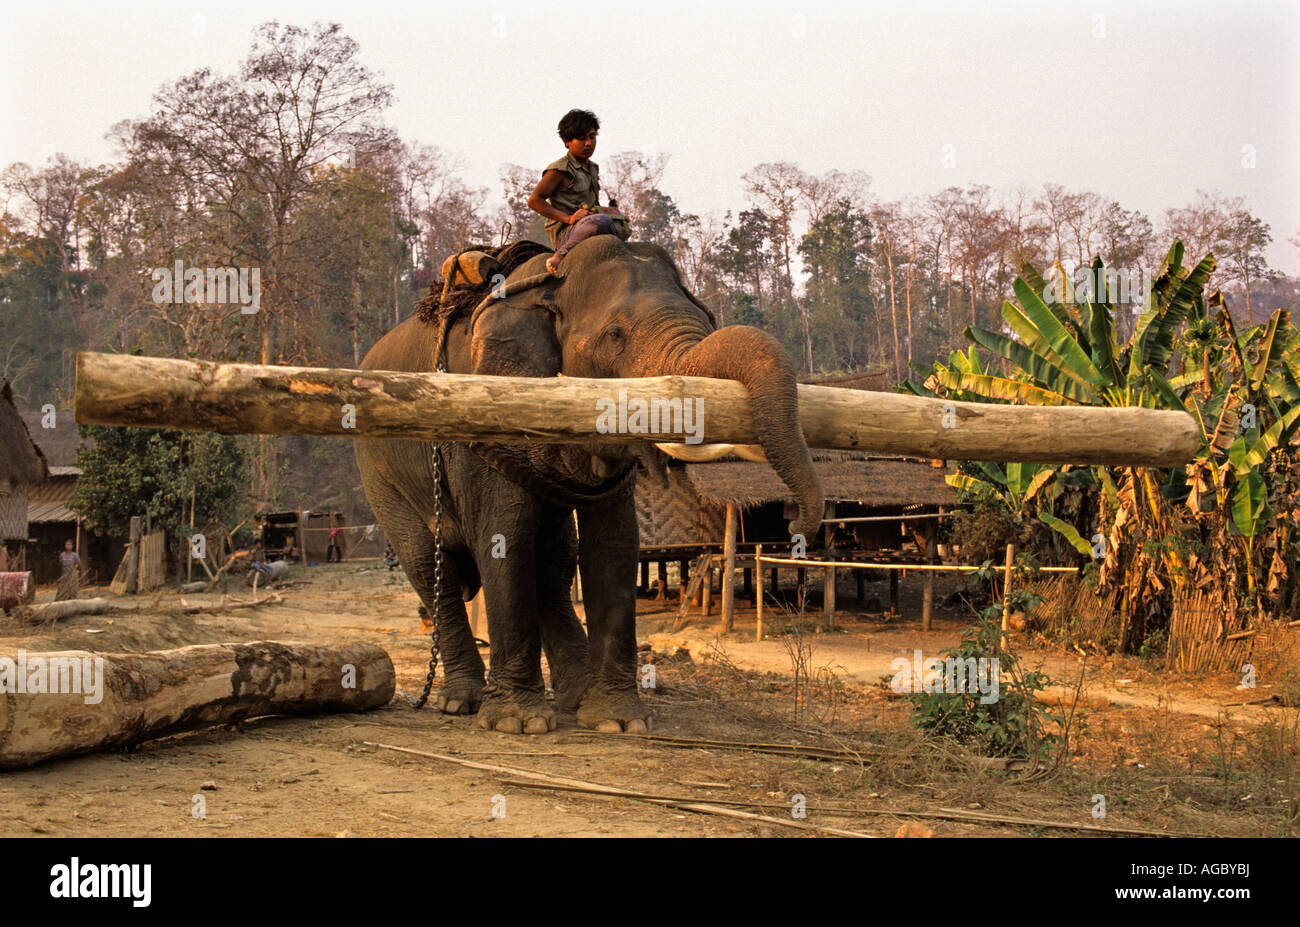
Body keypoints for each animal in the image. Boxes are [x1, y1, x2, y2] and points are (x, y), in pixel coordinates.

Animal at [355, 233, 823, 734]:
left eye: (707, 321)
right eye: (614, 335)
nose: (796, 528)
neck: (545, 284)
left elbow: (613, 544)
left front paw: (618, 723)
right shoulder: (480, 422)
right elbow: (504, 541)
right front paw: (518, 724)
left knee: (555, 562)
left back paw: (573, 697)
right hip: (378, 469)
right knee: (428, 563)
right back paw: (463, 702)